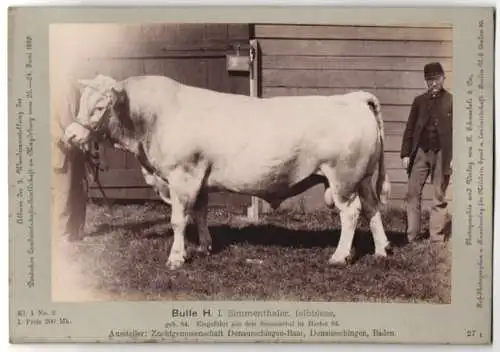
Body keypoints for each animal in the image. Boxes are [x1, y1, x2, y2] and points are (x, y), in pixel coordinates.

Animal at [62, 74, 390, 270]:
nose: (72, 136)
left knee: (351, 213)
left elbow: (179, 220)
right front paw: (204, 247)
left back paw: (339, 256)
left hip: (343, 178)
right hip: (362, 178)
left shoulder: (182, 176)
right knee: (372, 209)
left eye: (100, 106)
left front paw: (176, 258)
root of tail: (353, 97)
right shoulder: (199, 178)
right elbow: (200, 213)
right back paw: (381, 250)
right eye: (80, 102)